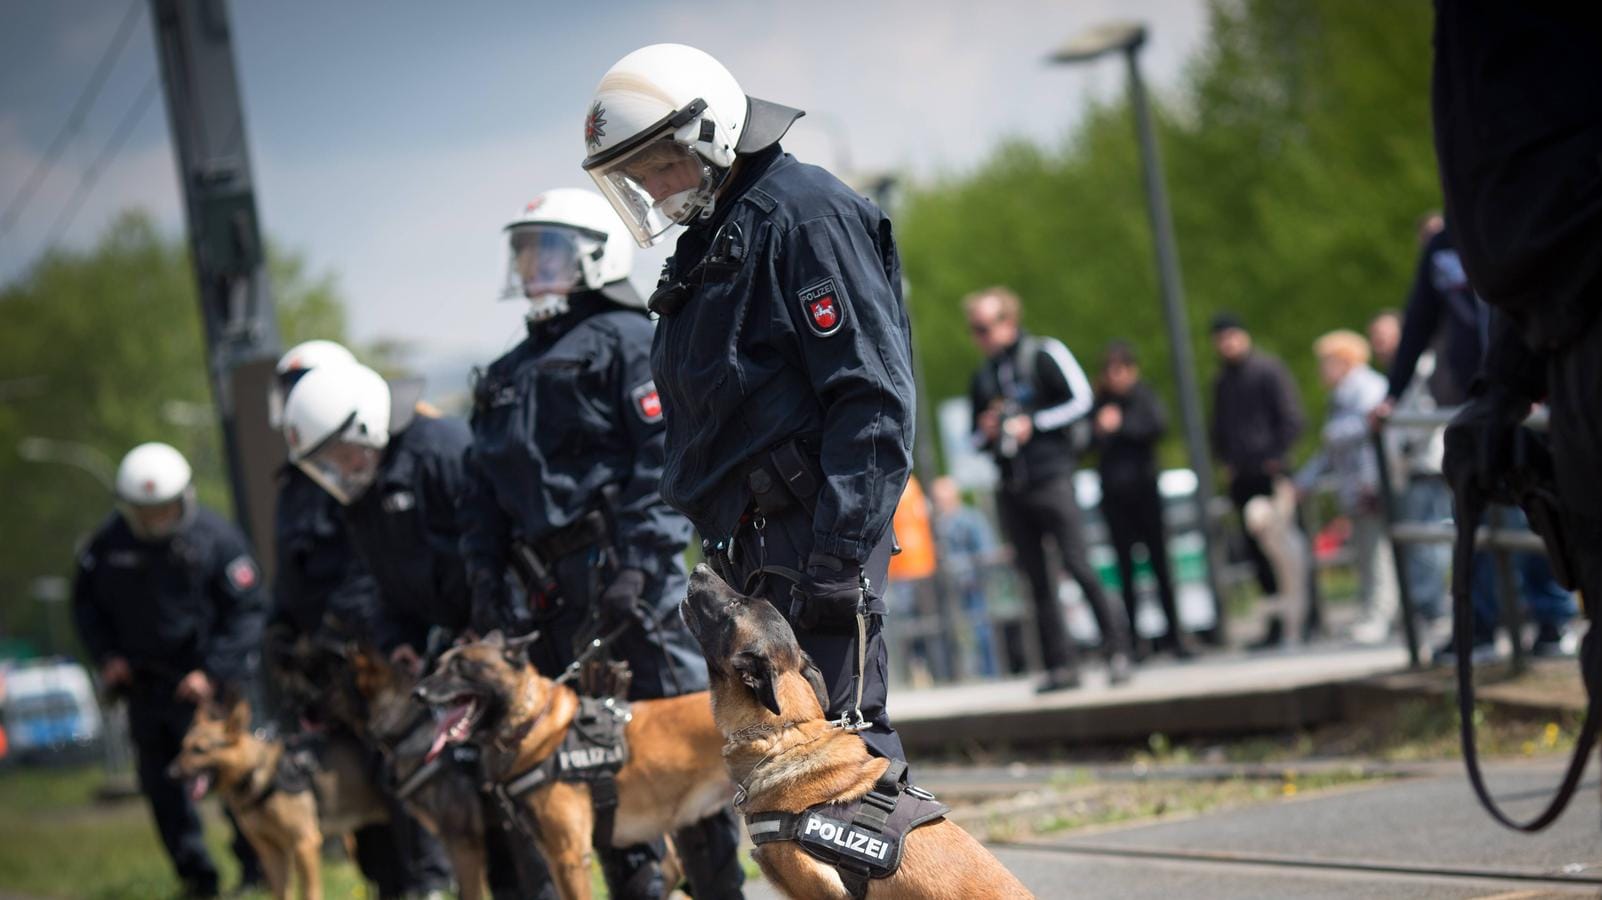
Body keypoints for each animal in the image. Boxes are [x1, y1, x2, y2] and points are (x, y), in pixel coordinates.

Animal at [171, 695, 387, 896]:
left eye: (199, 750)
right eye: (182, 747)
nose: (169, 773)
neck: (255, 771)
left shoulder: (305, 843)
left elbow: (310, 892)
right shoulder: (271, 850)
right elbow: (282, 892)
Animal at [416, 630, 733, 896]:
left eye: (462, 666)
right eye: (439, 664)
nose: (418, 693)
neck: (531, 723)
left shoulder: (569, 856)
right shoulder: (552, 856)